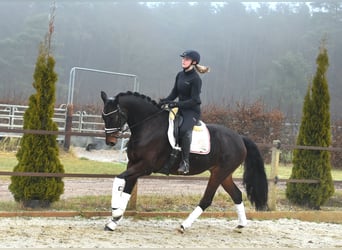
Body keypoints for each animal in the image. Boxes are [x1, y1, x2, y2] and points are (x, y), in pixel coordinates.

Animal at [100, 91, 268, 232]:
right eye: (103, 117)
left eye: (113, 117)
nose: (110, 142)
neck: (149, 126)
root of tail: (240, 138)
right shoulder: (133, 164)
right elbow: (126, 189)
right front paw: (114, 221)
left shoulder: (146, 166)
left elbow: (119, 179)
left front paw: (115, 211)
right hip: (223, 174)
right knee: (237, 195)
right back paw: (241, 224)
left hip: (219, 174)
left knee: (207, 200)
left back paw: (184, 225)